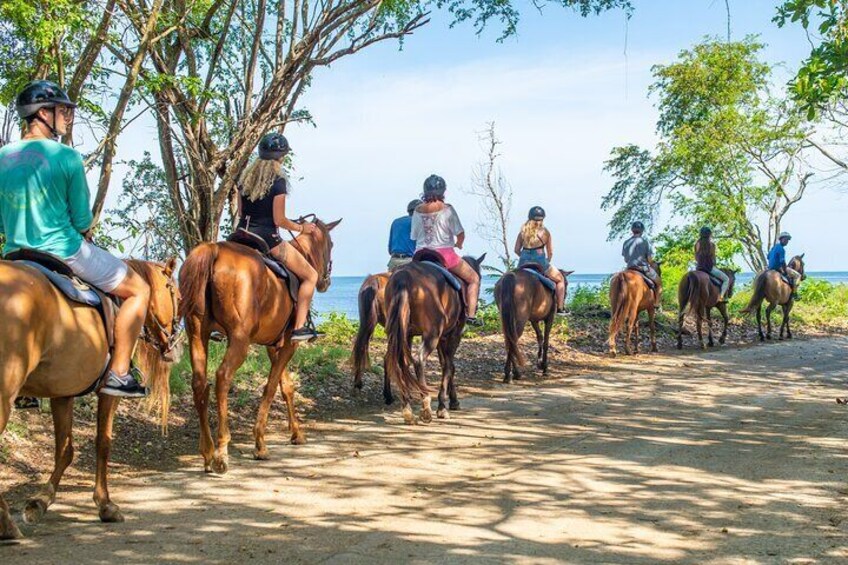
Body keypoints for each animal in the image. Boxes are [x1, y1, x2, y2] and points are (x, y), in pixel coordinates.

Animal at [0, 256, 179, 536]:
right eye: (177, 296)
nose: (174, 343)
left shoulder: (63, 393)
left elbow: (65, 450)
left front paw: (40, 502)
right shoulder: (108, 394)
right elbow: (103, 443)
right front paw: (105, 505)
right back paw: (6, 524)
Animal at [180, 218, 342, 474]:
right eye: (331, 244)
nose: (325, 281)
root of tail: (214, 250)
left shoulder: (273, 346)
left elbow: (286, 387)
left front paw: (296, 433)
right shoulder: (288, 345)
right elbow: (271, 387)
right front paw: (260, 444)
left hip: (197, 334)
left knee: (199, 384)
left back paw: (207, 452)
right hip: (239, 340)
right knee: (223, 378)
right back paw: (221, 451)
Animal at [382, 254, 484, 424]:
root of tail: (403, 277)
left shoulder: (441, 338)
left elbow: (446, 365)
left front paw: (451, 400)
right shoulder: (453, 335)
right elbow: (449, 366)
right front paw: (444, 406)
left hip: (401, 334)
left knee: (400, 362)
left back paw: (407, 408)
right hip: (432, 334)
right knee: (419, 361)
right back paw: (425, 406)